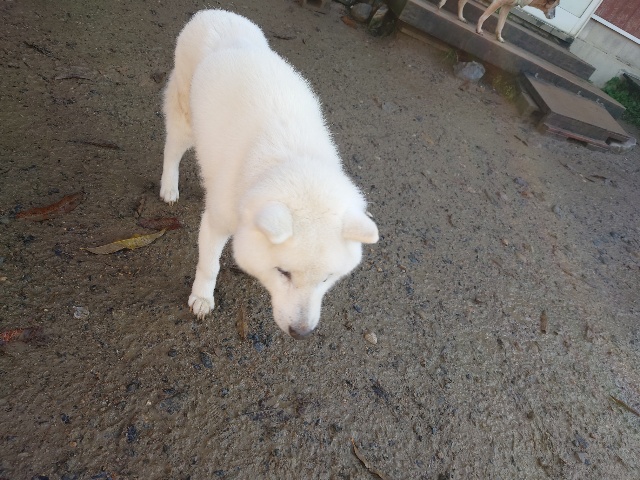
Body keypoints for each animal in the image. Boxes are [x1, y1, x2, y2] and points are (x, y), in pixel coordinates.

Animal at [160, 10, 379, 339]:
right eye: (284, 272)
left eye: (326, 279)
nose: (301, 333)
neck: (290, 158)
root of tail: (212, 12)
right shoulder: (216, 221)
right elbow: (209, 266)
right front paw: (202, 297)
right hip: (184, 117)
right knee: (171, 149)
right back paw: (169, 186)